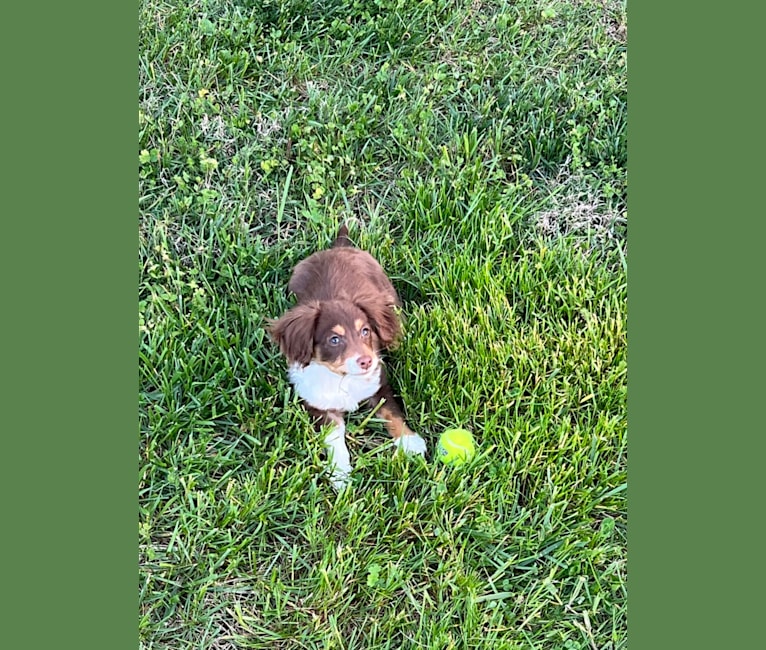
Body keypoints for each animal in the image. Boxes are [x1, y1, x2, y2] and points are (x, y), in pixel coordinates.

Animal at [268, 225, 426, 488]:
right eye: (334, 339)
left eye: (366, 331)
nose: (367, 361)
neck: (343, 378)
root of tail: (339, 246)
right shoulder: (320, 407)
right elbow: (335, 439)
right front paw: (340, 474)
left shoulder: (378, 386)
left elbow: (391, 413)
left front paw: (410, 442)